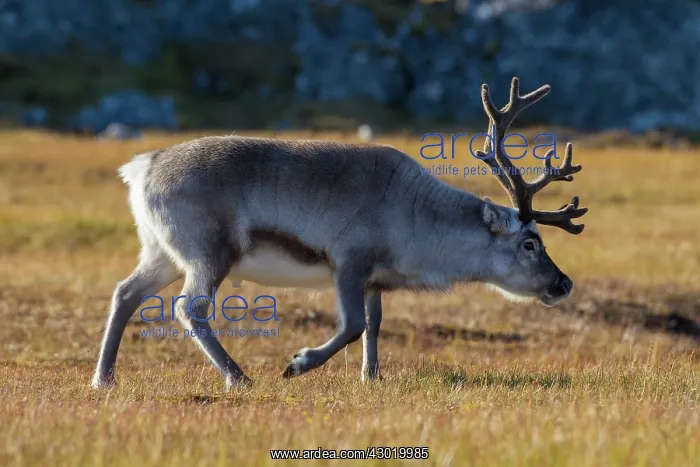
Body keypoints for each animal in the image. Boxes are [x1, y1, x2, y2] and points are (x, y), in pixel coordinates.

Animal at [92, 77, 587, 390]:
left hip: (160, 252)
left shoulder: (374, 280)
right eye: (530, 243)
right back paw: (238, 377)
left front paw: (372, 377)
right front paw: (298, 364)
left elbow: (374, 325)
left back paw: (104, 378)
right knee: (188, 308)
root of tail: (142, 166)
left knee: (125, 293)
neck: (415, 215)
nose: (564, 283)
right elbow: (351, 325)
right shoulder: (348, 262)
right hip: (208, 252)